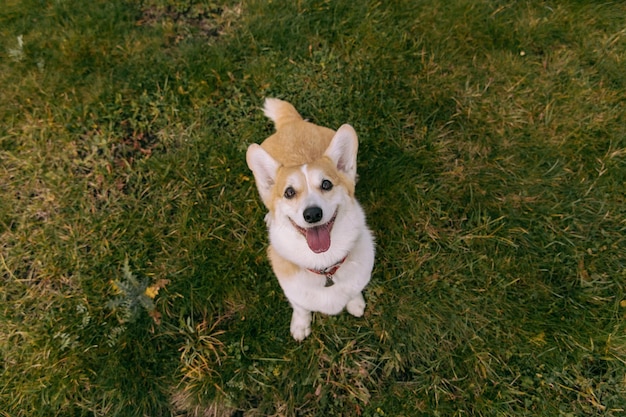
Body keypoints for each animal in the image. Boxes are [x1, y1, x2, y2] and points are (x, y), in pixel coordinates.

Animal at [244, 99, 370, 340]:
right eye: (289, 192)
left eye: (327, 184)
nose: (312, 214)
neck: (324, 266)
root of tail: (291, 123)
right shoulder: (294, 293)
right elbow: (300, 307)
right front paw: (300, 325)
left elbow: (354, 291)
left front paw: (355, 304)